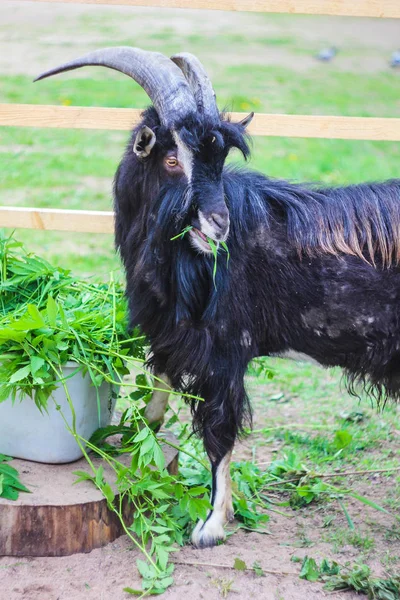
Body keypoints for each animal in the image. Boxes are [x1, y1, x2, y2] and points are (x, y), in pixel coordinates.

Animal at [36, 48, 400, 548]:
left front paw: (210, 526)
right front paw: (133, 437)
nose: (219, 224)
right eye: (172, 158)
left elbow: (219, 434)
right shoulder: (176, 332)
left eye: (220, 158)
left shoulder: (226, 347)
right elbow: (160, 389)